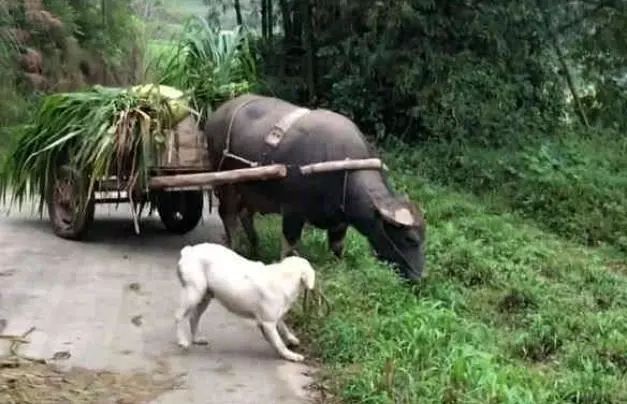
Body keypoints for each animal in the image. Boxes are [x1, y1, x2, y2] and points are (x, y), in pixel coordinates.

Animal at [174, 241, 316, 362]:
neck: (284, 276)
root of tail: (189, 250)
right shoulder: (267, 323)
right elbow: (279, 343)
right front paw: (290, 355)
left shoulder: (273, 317)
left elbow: (283, 326)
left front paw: (291, 338)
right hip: (193, 293)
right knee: (179, 316)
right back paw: (182, 340)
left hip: (205, 297)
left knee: (193, 317)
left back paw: (196, 339)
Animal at [205, 94, 426, 280]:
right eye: (410, 239)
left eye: (424, 237)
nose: (421, 277)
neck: (343, 170)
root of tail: (217, 114)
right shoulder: (292, 212)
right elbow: (290, 247)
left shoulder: (339, 222)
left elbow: (337, 247)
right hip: (227, 183)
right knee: (228, 215)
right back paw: (234, 248)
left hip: (251, 188)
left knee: (245, 214)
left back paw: (255, 248)